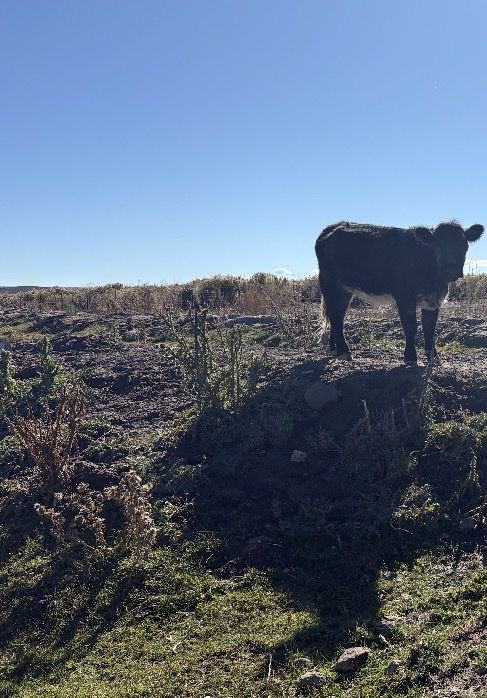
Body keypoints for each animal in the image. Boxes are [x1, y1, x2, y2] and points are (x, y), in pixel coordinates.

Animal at [315, 220, 484, 365]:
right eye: (437, 245)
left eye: (464, 245)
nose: (452, 268)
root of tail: (333, 226)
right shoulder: (405, 297)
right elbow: (410, 326)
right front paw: (410, 357)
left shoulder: (433, 300)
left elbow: (430, 329)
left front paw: (433, 357)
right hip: (330, 282)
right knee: (335, 316)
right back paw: (344, 351)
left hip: (345, 289)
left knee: (338, 315)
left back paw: (334, 349)